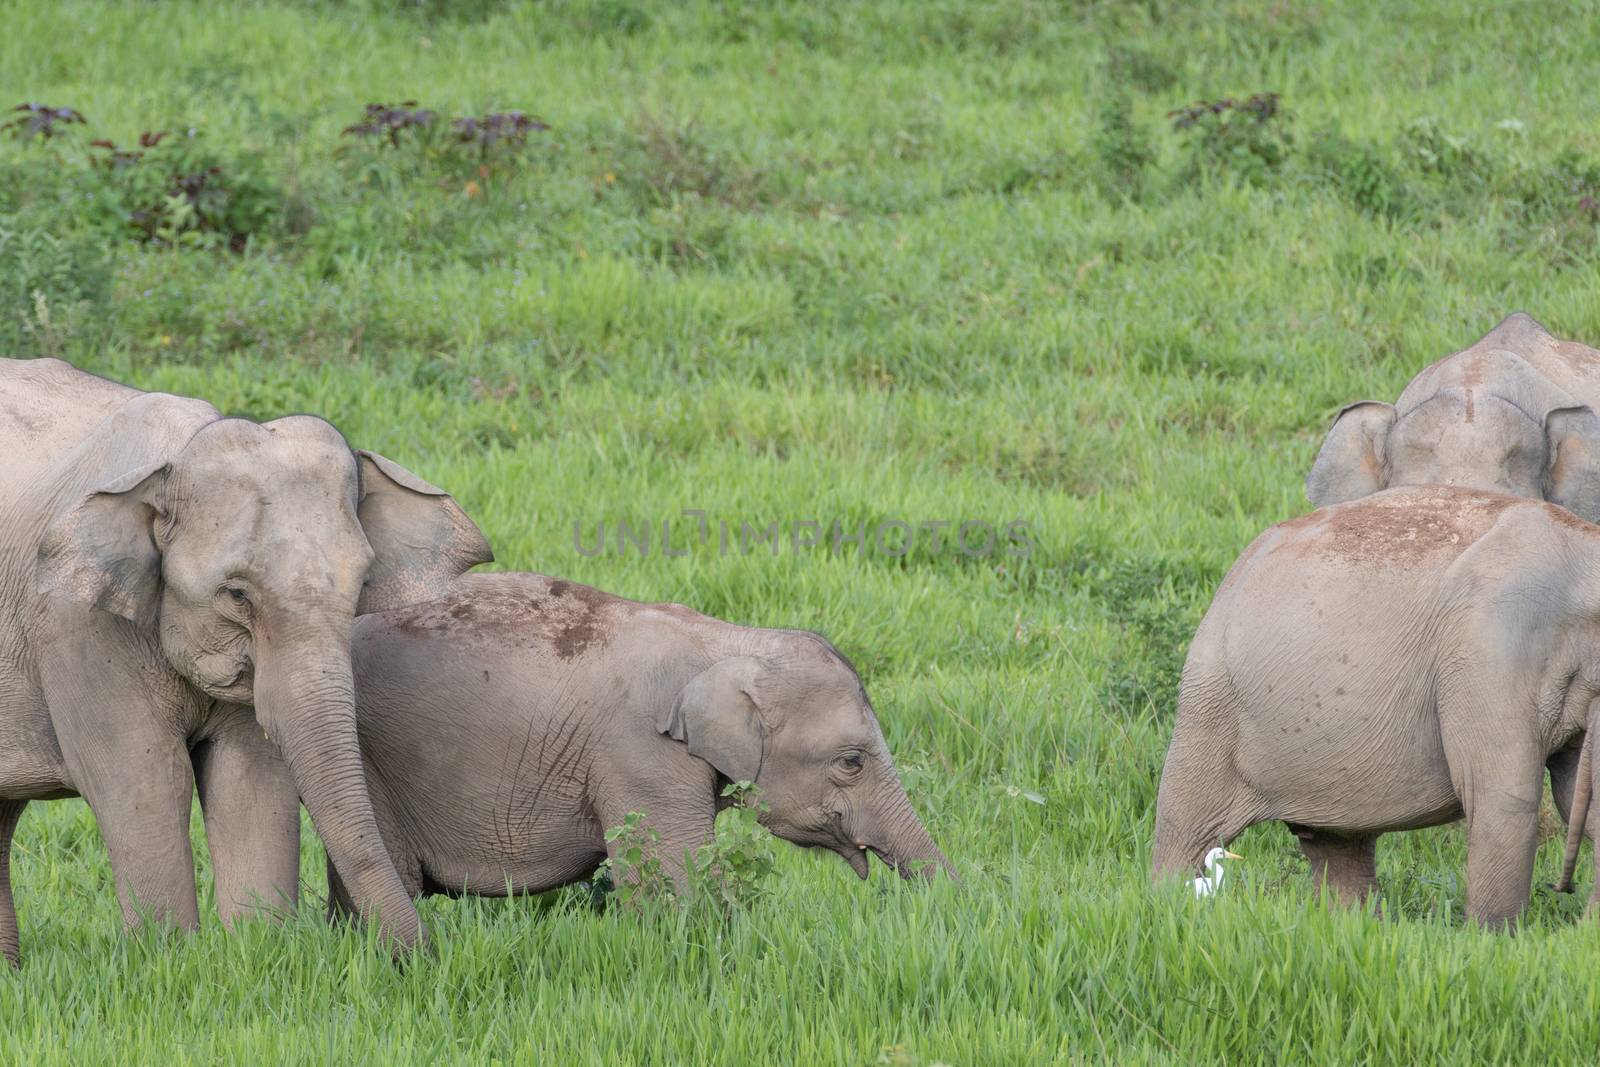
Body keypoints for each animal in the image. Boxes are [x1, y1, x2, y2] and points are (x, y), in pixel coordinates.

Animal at [0, 355, 489, 966]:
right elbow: (144, 779)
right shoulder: (74, 624)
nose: (419, 958)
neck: (175, 457)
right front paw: (167, 961)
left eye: (362, 584)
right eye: (235, 594)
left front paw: (258, 952)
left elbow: (249, 780)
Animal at [1158, 483, 1600, 927]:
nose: (1562, 887)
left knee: (1336, 842)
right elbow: (1504, 795)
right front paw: (1492, 937)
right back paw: (1168, 900)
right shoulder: (1491, 648)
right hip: (1211, 699)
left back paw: (1353, 925)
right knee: (1187, 828)